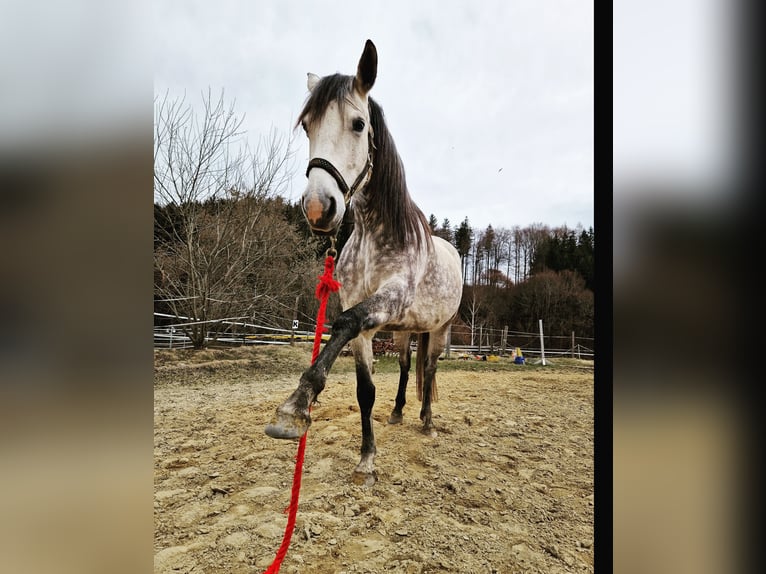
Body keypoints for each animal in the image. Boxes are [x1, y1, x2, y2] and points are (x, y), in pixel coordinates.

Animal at [265, 39, 463, 486]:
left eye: (358, 124)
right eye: (308, 126)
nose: (318, 208)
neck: (377, 231)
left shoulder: (386, 300)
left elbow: (344, 322)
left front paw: (296, 404)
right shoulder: (368, 325)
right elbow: (365, 391)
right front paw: (367, 459)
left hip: (439, 328)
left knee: (430, 367)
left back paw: (427, 422)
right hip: (407, 331)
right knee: (408, 366)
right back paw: (399, 414)